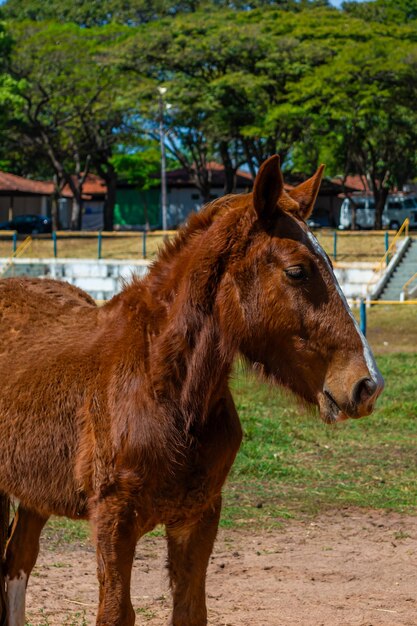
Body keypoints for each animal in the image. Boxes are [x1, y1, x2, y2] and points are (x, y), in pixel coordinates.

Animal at [0, 154, 380, 620]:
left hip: (32, 491)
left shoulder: (198, 517)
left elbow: (191, 610)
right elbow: (115, 612)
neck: (161, 386)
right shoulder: (113, 518)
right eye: (297, 271)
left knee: (18, 559)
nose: (367, 384)